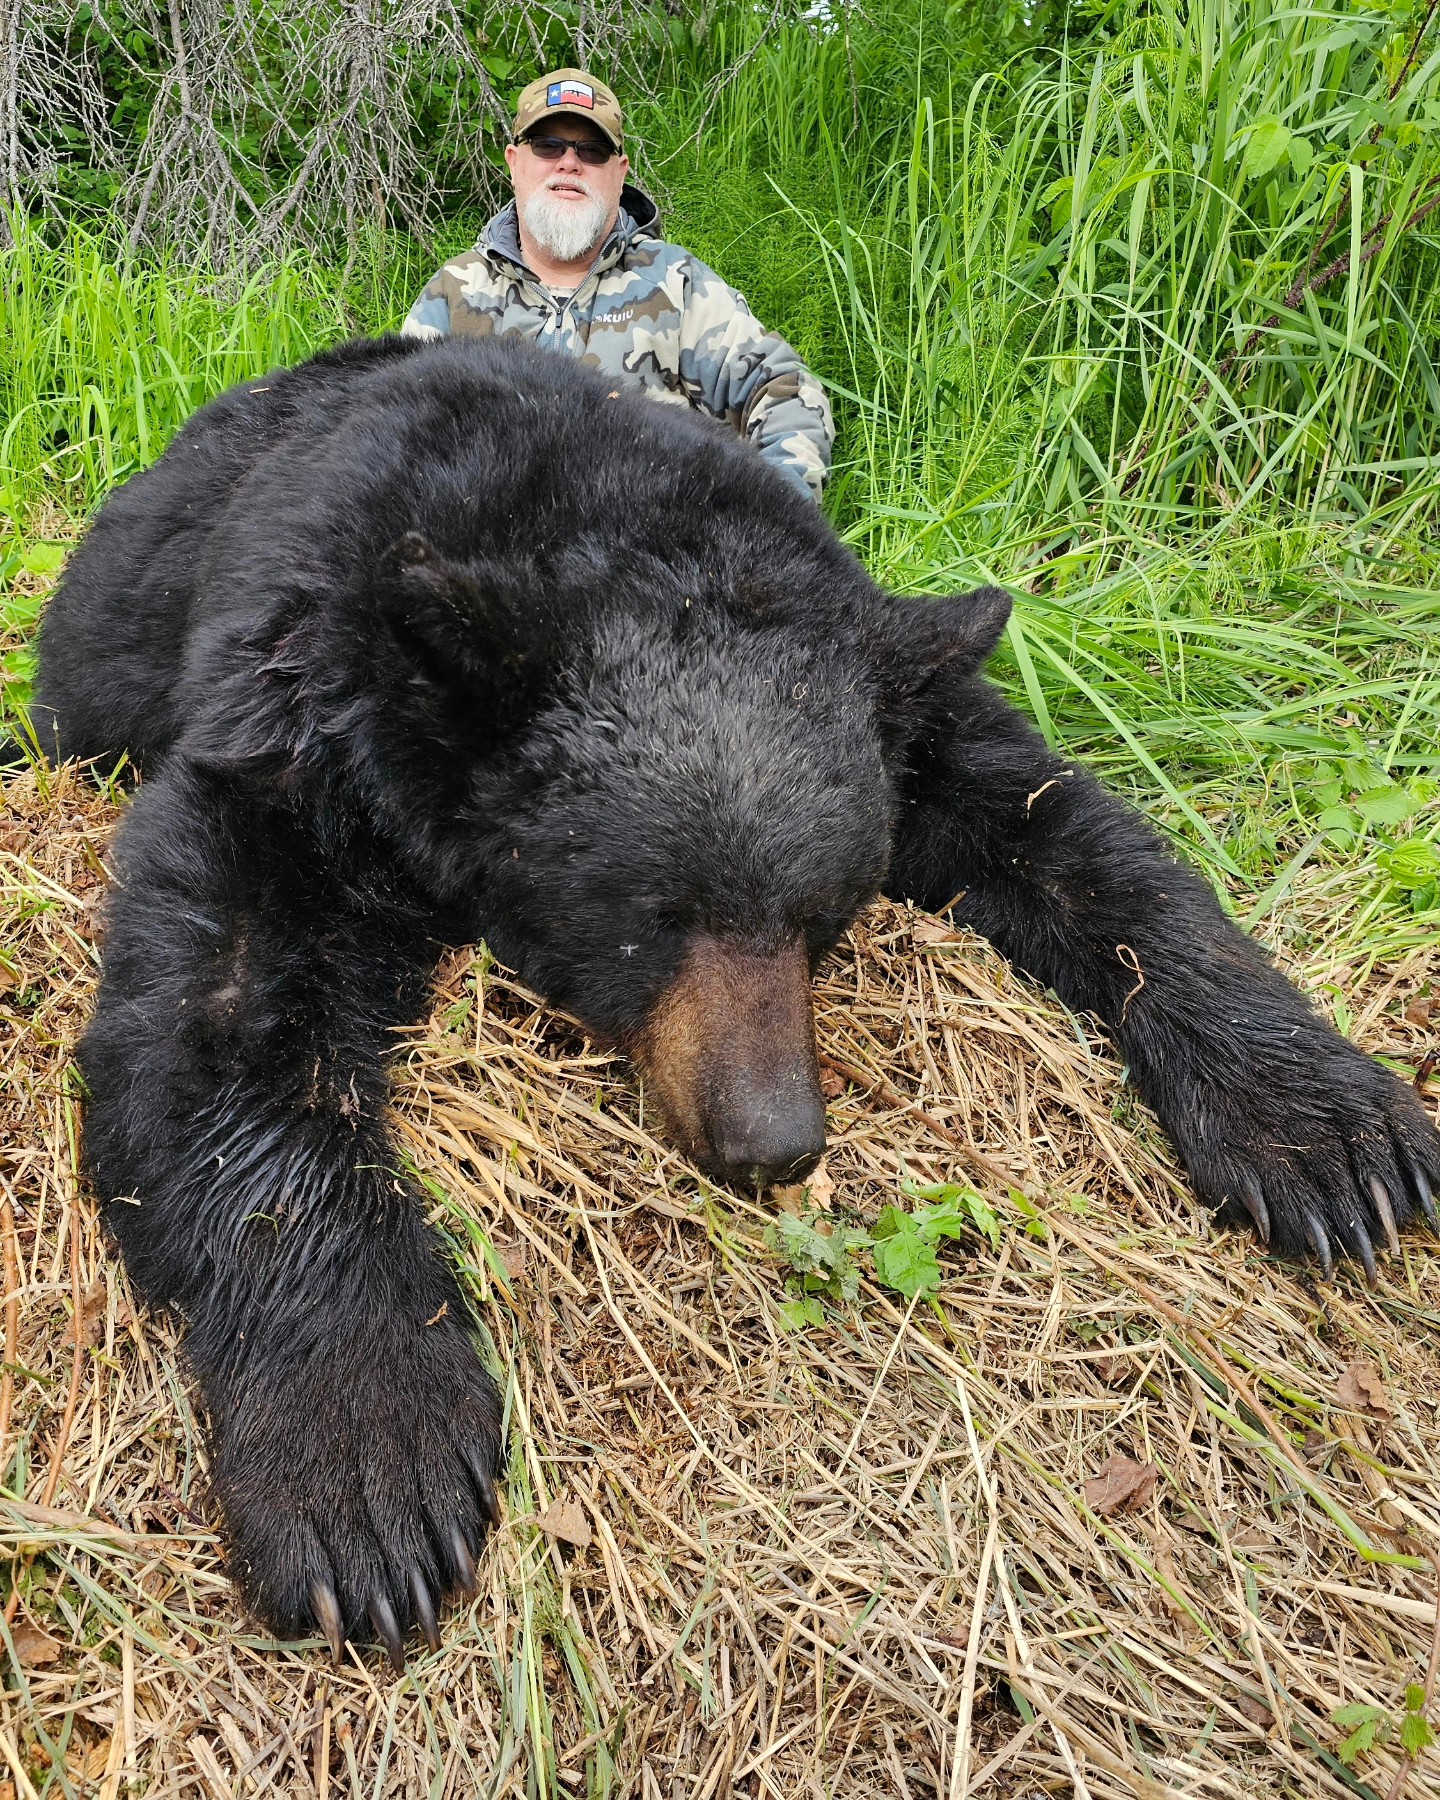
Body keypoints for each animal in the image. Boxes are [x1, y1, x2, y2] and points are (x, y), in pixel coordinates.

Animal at [31, 334, 1440, 1656]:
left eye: (823, 913)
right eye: (650, 916)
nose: (774, 1140)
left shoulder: (902, 712)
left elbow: (1074, 835)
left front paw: (1328, 1132)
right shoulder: (307, 712)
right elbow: (226, 994)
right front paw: (364, 1460)